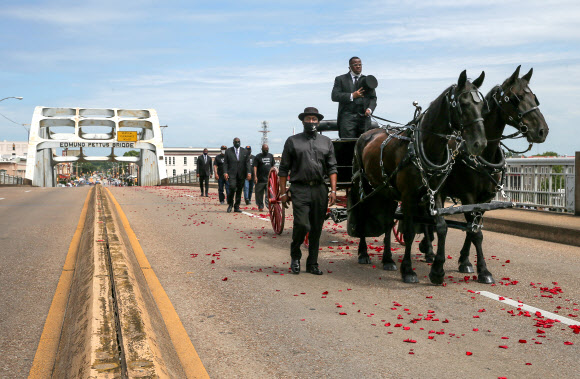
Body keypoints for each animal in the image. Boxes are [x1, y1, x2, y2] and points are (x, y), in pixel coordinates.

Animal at [348, 70, 490, 284]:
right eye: (463, 104)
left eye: (482, 106)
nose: (479, 144)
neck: (426, 146)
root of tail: (366, 134)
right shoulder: (408, 196)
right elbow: (408, 232)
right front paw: (408, 270)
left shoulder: (436, 192)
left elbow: (441, 227)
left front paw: (437, 271)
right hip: (364, 186)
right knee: (363, 213)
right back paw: (363, 253)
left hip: (387, 191)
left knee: (388, 222)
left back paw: (388, 259)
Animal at [420, 67, 552, 284]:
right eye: (516, 98)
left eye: (534, 97)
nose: (542, 131)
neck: (483, 154)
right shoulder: (468, 196)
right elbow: (475, 233)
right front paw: (483, 270)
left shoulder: (485, 198)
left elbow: (473, 228)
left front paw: (465, 261)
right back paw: (429, 250)